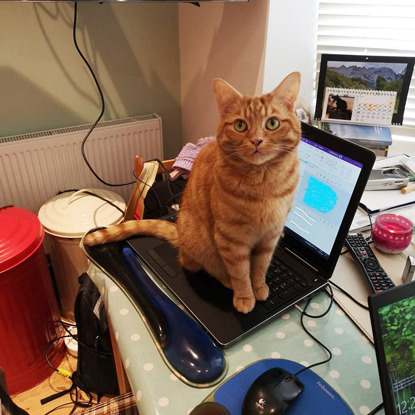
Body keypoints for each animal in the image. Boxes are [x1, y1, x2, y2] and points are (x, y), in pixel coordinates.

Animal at [84, 72, 302, 312]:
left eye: (272, 123)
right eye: (240, 125)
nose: (256, 140)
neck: (263, 181)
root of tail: (179, 232)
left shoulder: (270, 237)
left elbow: (260, 268)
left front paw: (259, 287)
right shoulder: (231, 240)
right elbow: (241, 272)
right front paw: (245, 296)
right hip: (202, 245)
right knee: (196, 264)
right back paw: (226, 280)